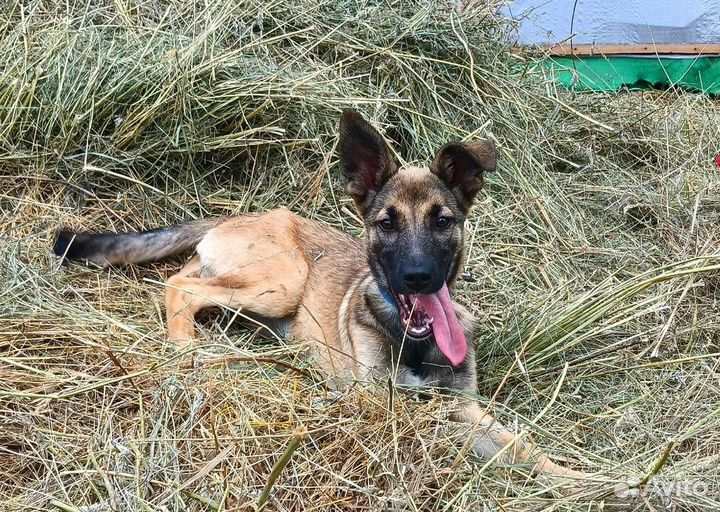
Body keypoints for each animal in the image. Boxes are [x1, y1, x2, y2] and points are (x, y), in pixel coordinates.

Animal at [54, 110, 584, 482]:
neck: (410, 338)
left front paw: (582, 480)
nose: (417, 278)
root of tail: (239, 215)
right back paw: (187, 348)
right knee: (180, 286)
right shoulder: (382, 403)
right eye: (386, 223)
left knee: (190, 276)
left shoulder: (466, 405)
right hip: (285, 279)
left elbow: (523, 447)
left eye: (442, 221)